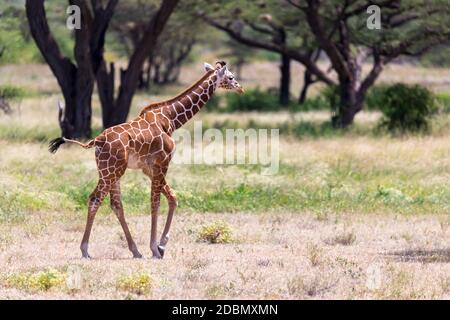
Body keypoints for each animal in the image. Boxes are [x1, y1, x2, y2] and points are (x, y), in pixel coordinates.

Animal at [49, 60, 244, 260]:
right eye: (231, 77)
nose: (240, 88)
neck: (170, 119)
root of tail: (97, 141)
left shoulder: (148, 168)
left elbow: (172, 197)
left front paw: (162, 245)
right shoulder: (162, 162)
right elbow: (156, 202)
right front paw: (155, 248)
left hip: (110, 171)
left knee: (116, 204)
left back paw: (135, 251)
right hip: (112, 171)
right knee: (96, 198)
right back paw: (85, 250)